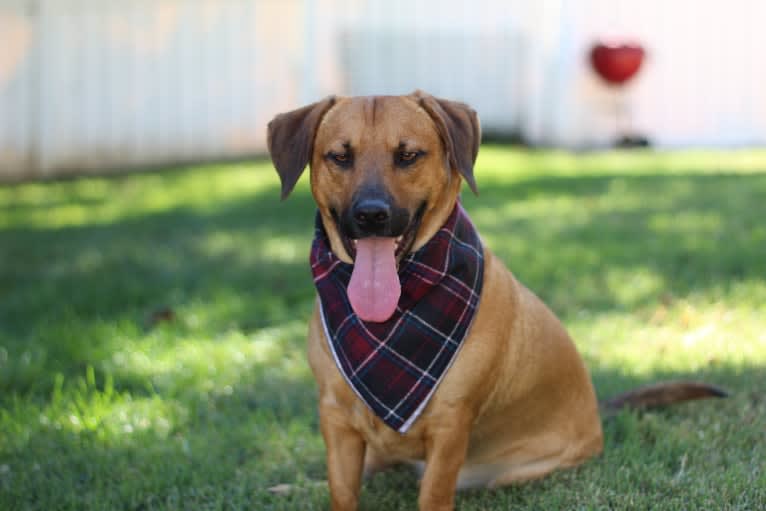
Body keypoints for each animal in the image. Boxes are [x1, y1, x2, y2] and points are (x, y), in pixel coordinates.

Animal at [268, 90, 728, 510]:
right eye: (340, 157)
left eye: (408, 155)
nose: (371, 215)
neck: (388, 325)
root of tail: (597, 409)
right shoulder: (336, 419)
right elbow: (342, 490)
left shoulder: (450, 425)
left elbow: (433, 494)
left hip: (509, 471)